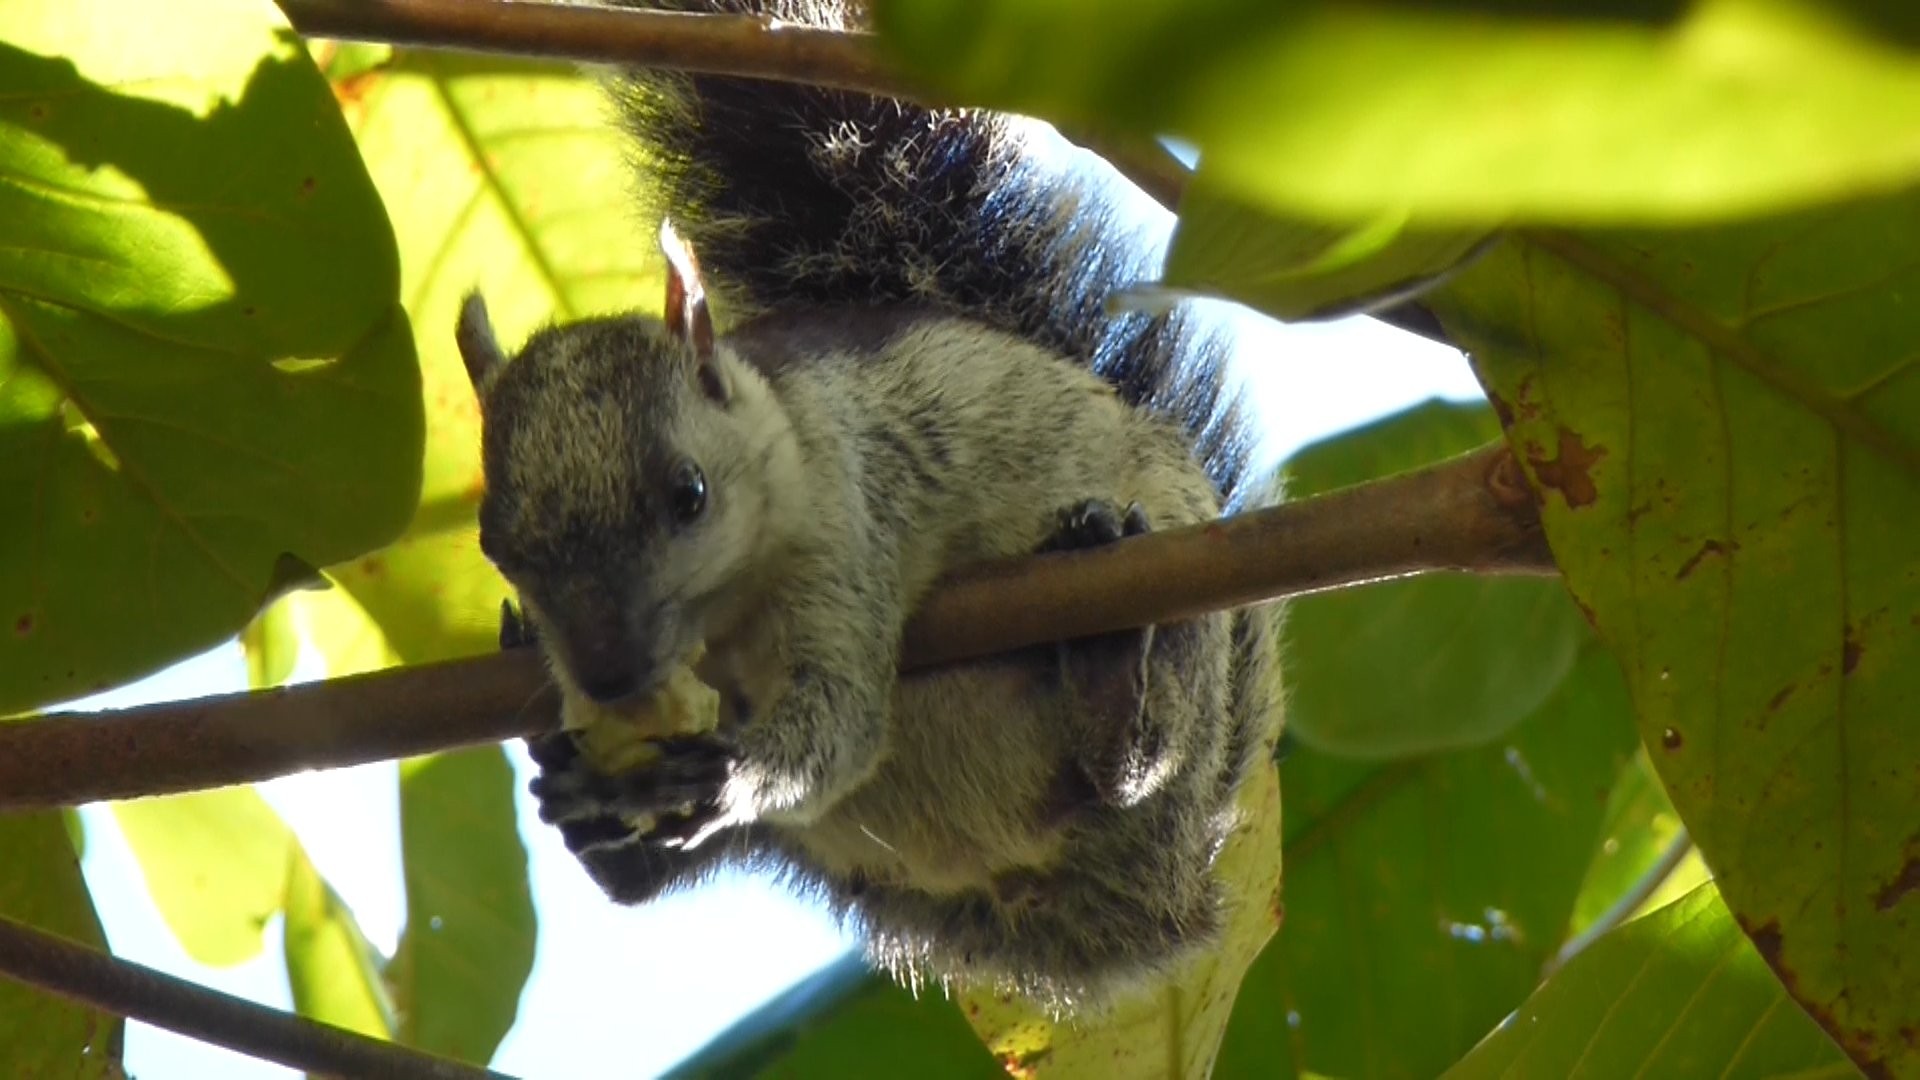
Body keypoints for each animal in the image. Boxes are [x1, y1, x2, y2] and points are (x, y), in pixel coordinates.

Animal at [455, 2, 1282, 1006]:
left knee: (1135, 767)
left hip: (1179, 594)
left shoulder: (850, 524)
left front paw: (731, 775)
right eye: (495, 544)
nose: (610, 676)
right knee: (642, 882)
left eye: (689, 495)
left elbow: (841, 715)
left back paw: (1111, 678)